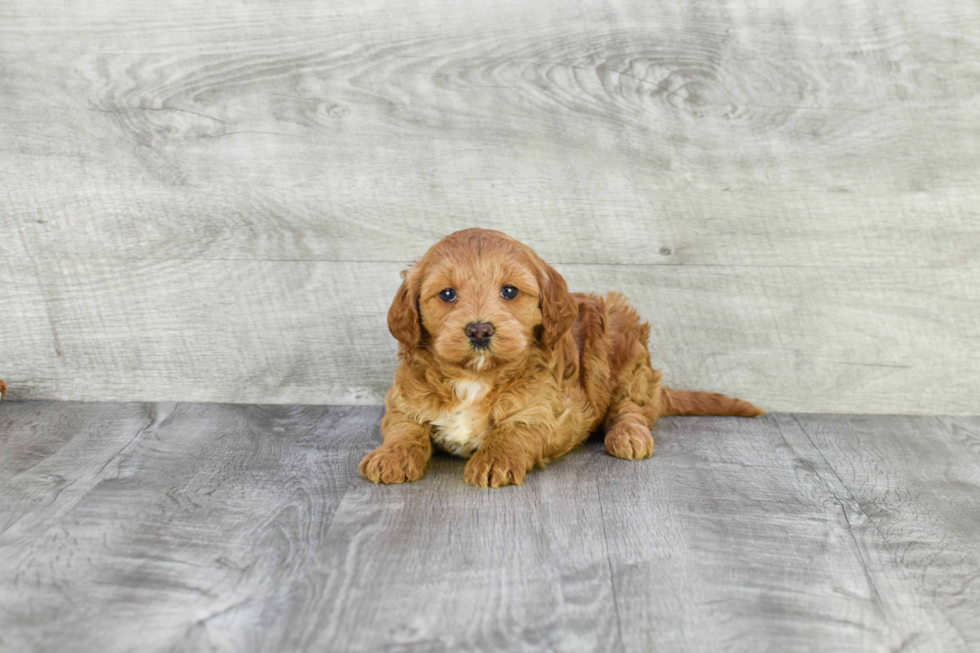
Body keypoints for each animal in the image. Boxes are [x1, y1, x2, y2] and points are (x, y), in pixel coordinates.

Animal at [360, 227, 764, 486]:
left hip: (622, 347)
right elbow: (403, 429)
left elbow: (513, 431)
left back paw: (629, 437)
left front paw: (494, 460)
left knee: (633, 408)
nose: (479, 330)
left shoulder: (544, 412)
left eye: (510, 291)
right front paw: (390, 457)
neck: (476, 377)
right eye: (446, 295)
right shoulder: (402, 402)